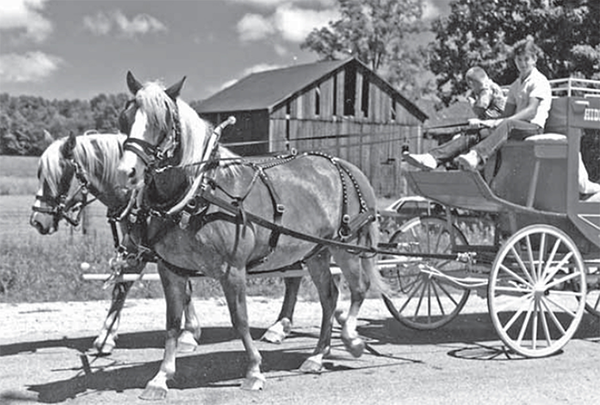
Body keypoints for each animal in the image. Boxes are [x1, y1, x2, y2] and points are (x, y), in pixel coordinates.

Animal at [115, 72, 382, 398]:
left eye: (162, 123)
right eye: (125, 118)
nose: (127, 172)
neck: (199, 193)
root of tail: (344, 165)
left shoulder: (233, 270)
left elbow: (240, 320)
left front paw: (254, 370)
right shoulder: (170, 270)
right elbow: (173, 324)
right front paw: (161, 377)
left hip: (346, 246)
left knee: (359, 288)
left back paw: (351, 339)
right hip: (316, 252)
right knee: (330, 297)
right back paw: (318, 355)